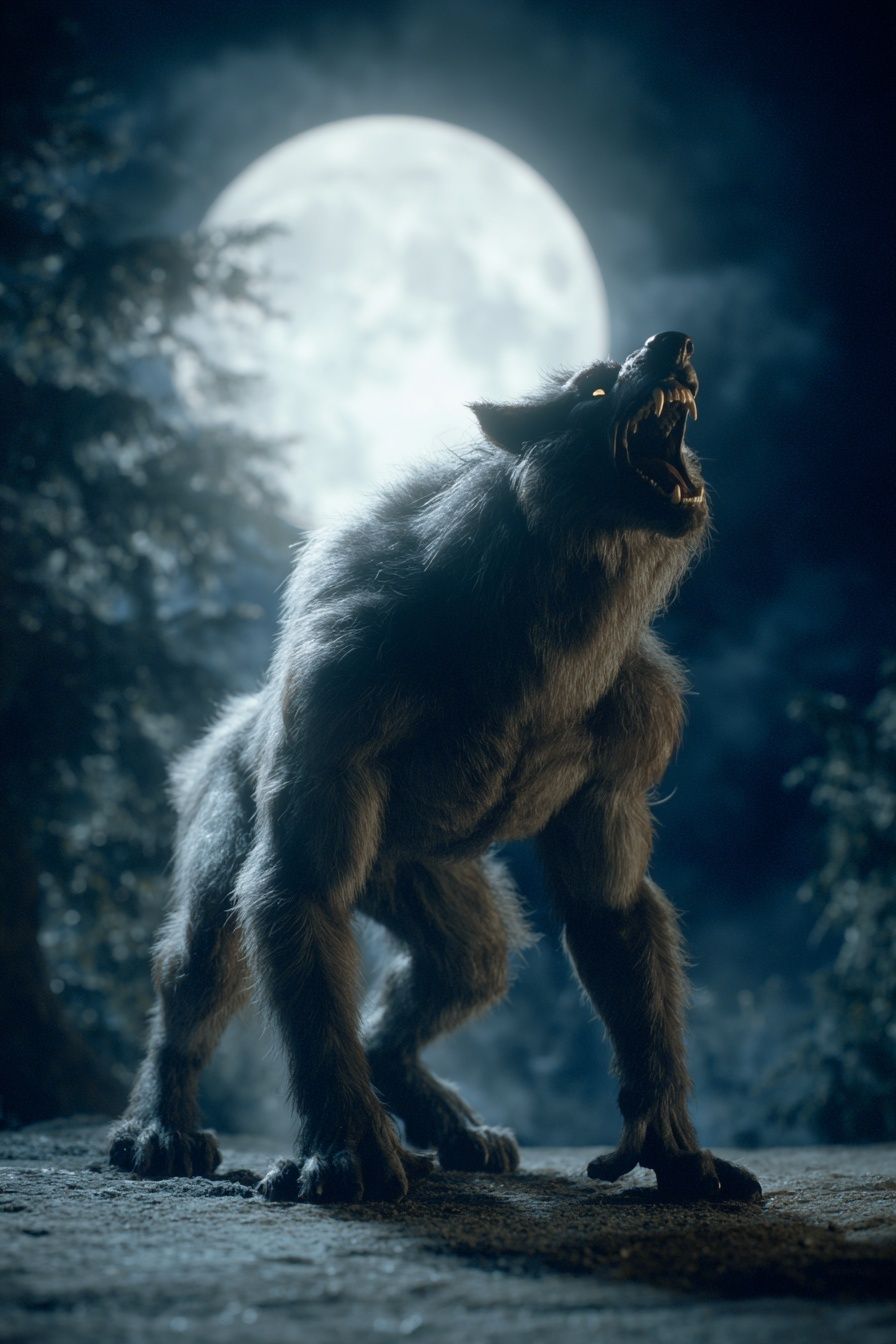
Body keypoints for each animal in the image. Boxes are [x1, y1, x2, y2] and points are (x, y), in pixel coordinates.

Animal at [110, 330, 761, 1204]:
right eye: (594, 391)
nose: (671, 344)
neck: (548, 634)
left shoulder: (633, 746)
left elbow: (611, 912)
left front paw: (671, 1143)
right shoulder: (341, 689)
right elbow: (304, 904)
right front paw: (348, 1152)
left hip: (431, 893)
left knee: (436, 991)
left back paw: (453, 1131)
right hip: (232, 853)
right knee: (196, 978)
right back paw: (161, 1130)